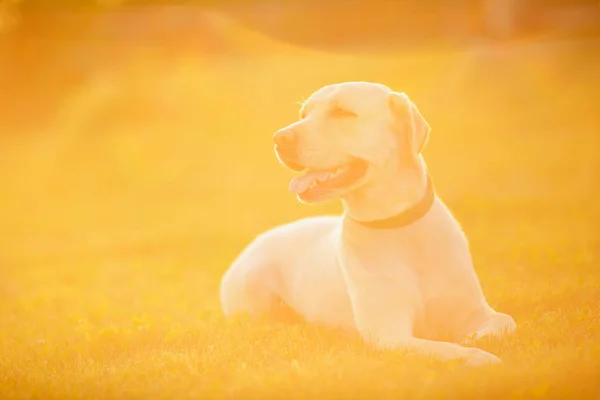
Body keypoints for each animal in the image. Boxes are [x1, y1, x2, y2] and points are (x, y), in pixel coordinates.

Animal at [220, 81, 516, 366]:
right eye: (304, 114)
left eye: (342, 112)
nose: (279, 137)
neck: (400, 228)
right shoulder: (390, 337)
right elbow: (448, 350)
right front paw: (481, 357)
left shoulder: (478, 311)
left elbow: (505, 322)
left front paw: (475, 339)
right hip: (254, 288)